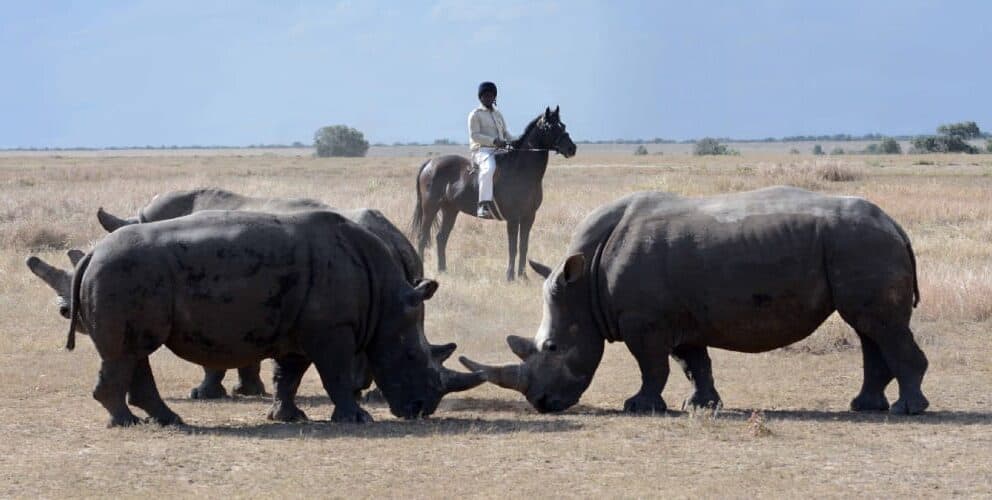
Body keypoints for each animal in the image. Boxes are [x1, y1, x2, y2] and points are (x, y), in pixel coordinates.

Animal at [30, 210, 481, 426]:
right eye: (413, 358)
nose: (422, 410)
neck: (387, 301)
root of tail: (91, 254)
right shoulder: (332, 329)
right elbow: (334, 374)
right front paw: (357, 418)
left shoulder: (304, 326)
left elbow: (291, 374)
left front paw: (287, 416)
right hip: (121, 272)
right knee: (126, 353)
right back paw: (127, 424)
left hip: (122, 275)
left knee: (133, 353)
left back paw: (165, 420)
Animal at [461, 186, 929, 415]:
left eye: (553, 347)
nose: (542, 405)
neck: (584, 286)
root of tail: (897, 226)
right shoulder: (678, 317)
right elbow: (693, 363)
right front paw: (700, 405)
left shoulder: (644, 322)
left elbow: (652, 366)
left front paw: (639, 407)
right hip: (859, 245)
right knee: (869, 328)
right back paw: (865, 407)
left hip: (861, 244)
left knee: (880, 326)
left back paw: (907, 410)